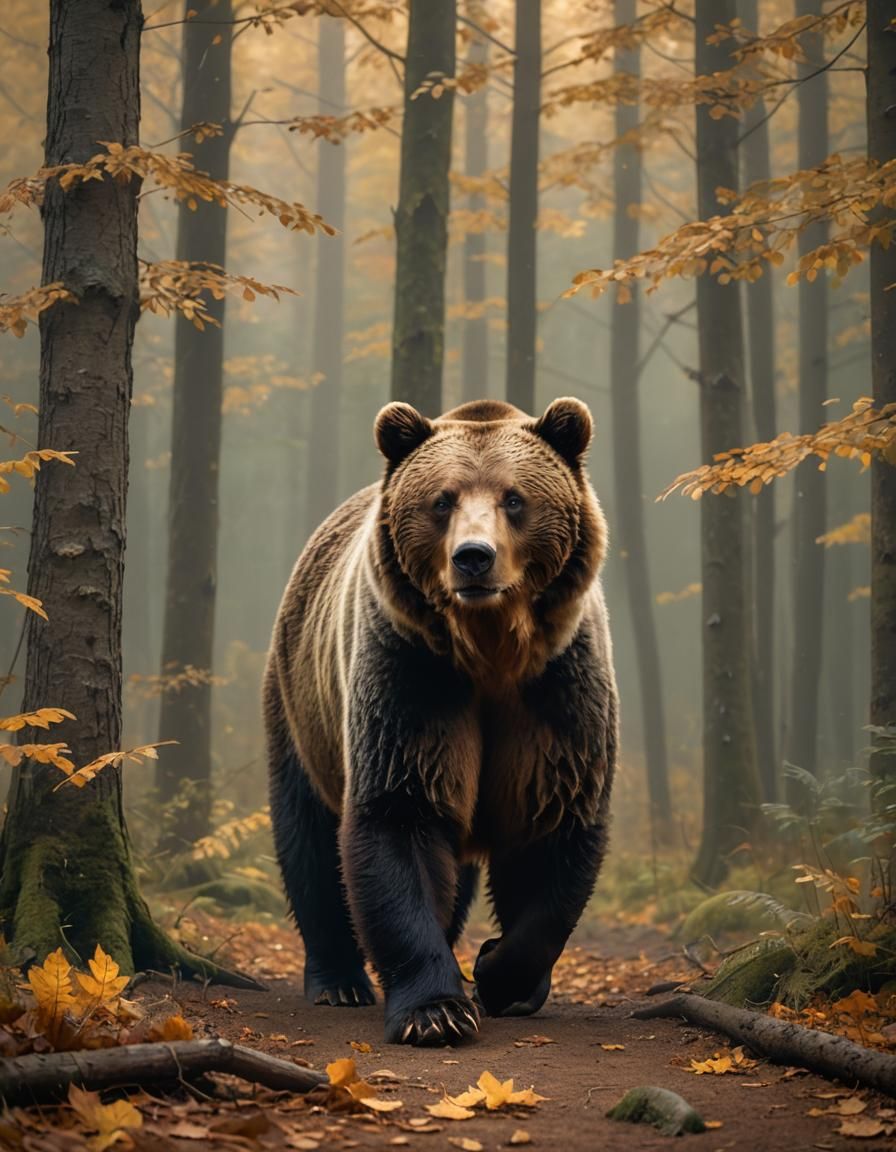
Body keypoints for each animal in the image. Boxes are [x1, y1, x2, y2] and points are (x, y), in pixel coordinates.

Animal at [264, 397, 618, 1046]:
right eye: (442, 500)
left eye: (514, 498)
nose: (473, 557)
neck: (490, 652)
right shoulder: (413, 676)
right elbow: (399, 814)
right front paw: (436, 1010)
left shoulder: (556, 691)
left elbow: (554, 830)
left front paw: (499, 971)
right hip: (301, 705)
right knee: (308, 839)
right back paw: (338, 978)